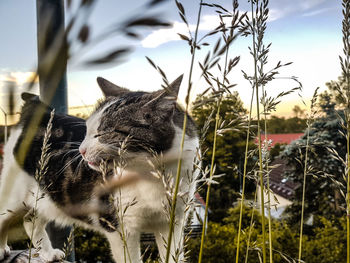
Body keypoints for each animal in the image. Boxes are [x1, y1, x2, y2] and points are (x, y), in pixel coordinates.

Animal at [0, 75, 200, 263]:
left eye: (103, 133)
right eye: (87, 130)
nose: (81, 150)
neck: (153, 175)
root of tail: (38, 110)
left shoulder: (172, 223)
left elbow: (174, 255)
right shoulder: (119, 227)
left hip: (48, 198)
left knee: (30, 219)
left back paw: (48, 253)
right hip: (14, 193)